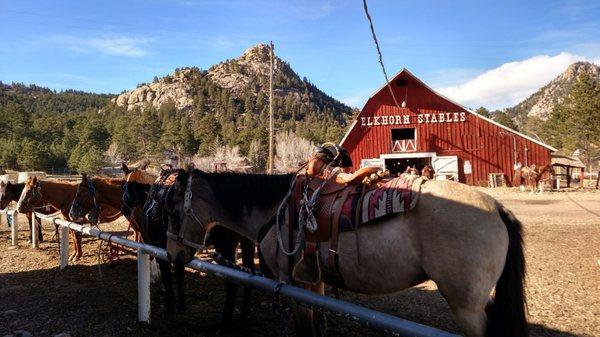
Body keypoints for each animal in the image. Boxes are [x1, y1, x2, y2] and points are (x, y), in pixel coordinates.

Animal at [122, 163, 260, 322]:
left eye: (123, 186)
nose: (124, 209)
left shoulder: (159, 249)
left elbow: (167, 277)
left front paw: (170, 307)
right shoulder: (177, 252)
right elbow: (179, 274)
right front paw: (181, 305)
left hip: (226, 248)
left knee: (232, 281)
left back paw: (225, 318)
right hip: (247, 243)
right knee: (249, 274)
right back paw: (244, 313)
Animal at [163, 167, 524, 336]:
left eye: (173, 211)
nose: (172, 255)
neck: (275, 208)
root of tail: (496, 207)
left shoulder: (293, 284)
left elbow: (305, 328)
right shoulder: (314, 282)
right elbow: (319, 323)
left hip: (467, 307)